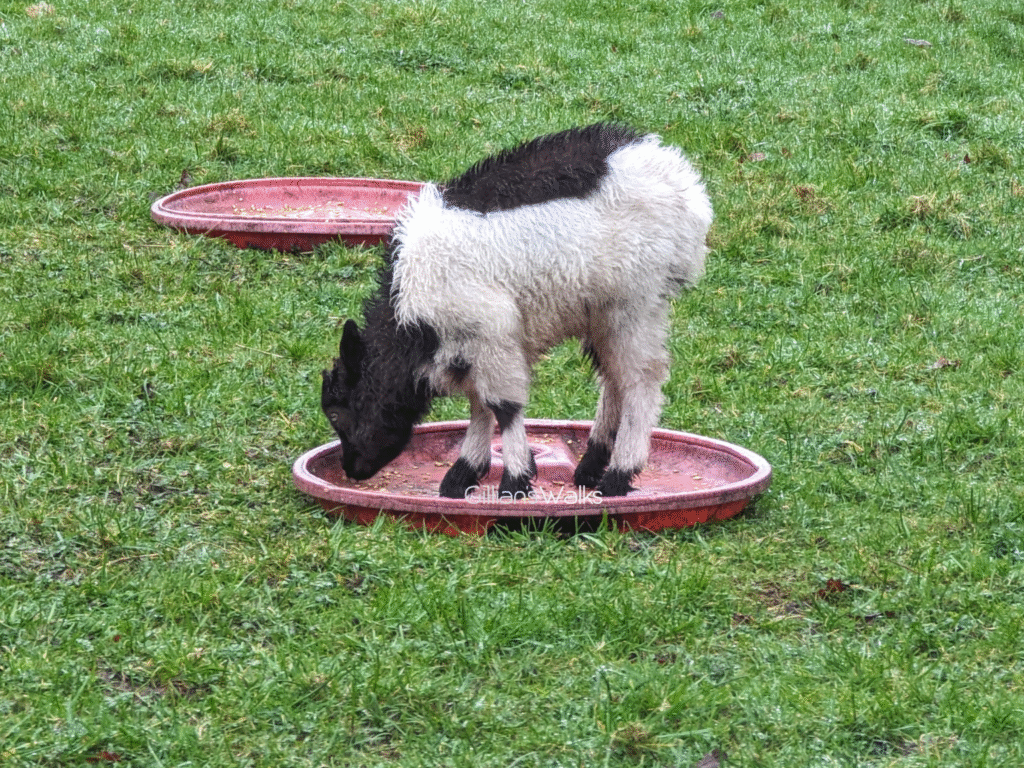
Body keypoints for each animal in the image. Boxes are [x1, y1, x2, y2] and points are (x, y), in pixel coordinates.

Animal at [321, 123, 713, 499]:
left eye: (338, 413)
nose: (352, 469)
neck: (409, 322)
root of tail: (684, 186)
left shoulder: (491, 330)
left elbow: (502, 406)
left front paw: (514, 481)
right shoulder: (473, 343)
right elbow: (478, 401)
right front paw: (464, 474)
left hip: (635, 300)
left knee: (641, 379)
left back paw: (618, 475)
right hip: (602, 310)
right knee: (614, 376)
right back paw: (591, 465)